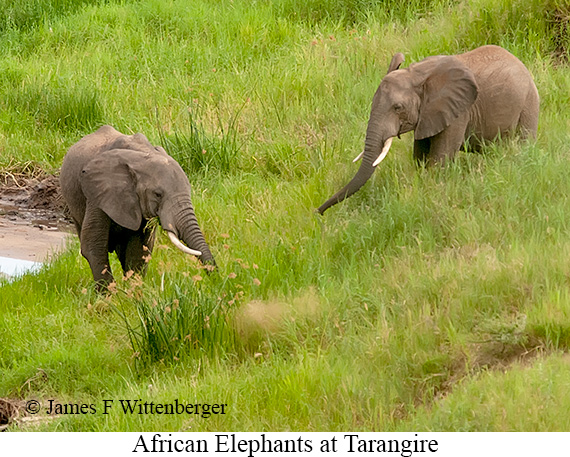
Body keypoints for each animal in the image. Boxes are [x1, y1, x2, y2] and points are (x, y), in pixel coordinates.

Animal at [60, 124, 214, 288]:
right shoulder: (98, 192)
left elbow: (139, 249)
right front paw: (111, 293)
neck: (141, 153)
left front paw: (133, 290)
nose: (216, 278)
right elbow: (93, 245)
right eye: (158, 194)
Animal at [318, 44, 540, 214]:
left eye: (397, 108)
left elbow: (439, 158)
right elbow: (420, 157)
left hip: (529, 102)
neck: (415, 75)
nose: (318, 212)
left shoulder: (459, 112)